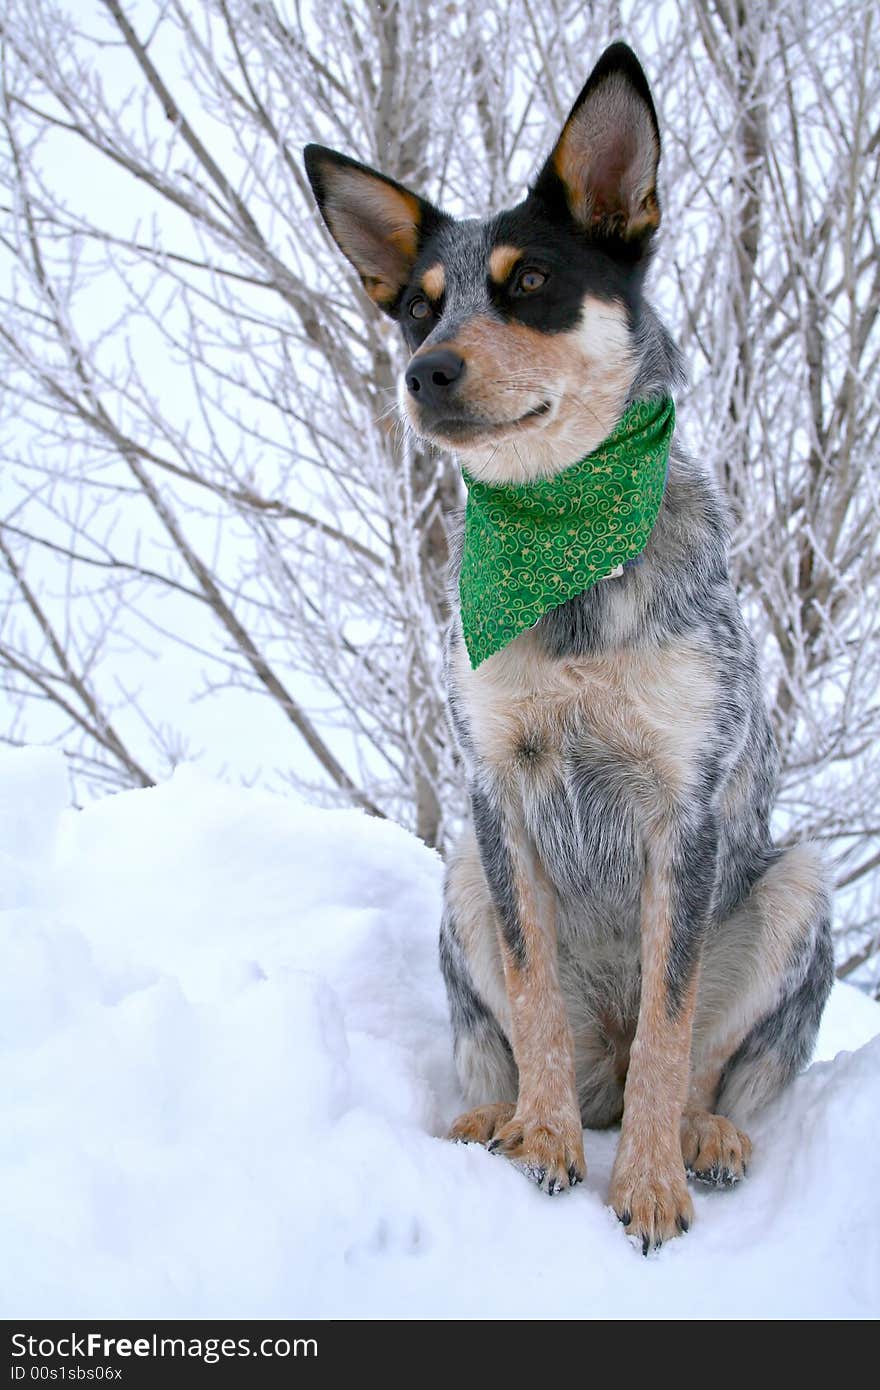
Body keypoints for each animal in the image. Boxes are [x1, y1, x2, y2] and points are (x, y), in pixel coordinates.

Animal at [305, 38, 834, 1256]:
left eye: (532, 283)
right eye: (417, 308)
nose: (424, 372)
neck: (566, 554)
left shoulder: (685, 808)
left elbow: (672, 1027)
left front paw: (645, 1185)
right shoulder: (497, 795)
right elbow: (535, 991)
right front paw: (541, 1142)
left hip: (798, 883)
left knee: (703, 1068)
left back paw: (701, 1135)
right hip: (459, 873)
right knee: (507, 1039)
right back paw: (491, 1119)